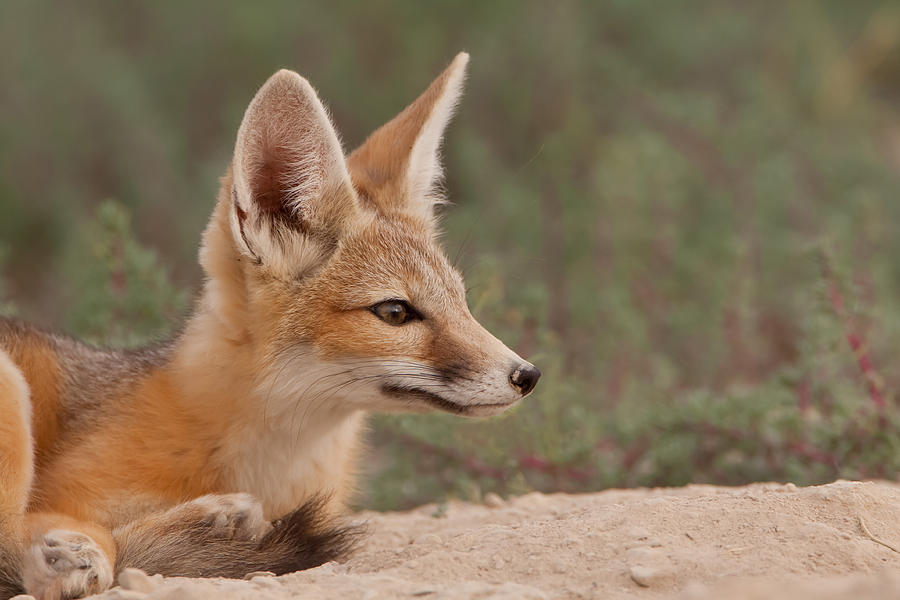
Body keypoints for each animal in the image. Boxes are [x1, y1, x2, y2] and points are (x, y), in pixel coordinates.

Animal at [0, 52, 540, 600]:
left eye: (461, 301)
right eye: (395, 312)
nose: (527, 374)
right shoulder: (66, 492)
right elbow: (75, 532)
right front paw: (76, 554)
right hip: (11, 388)